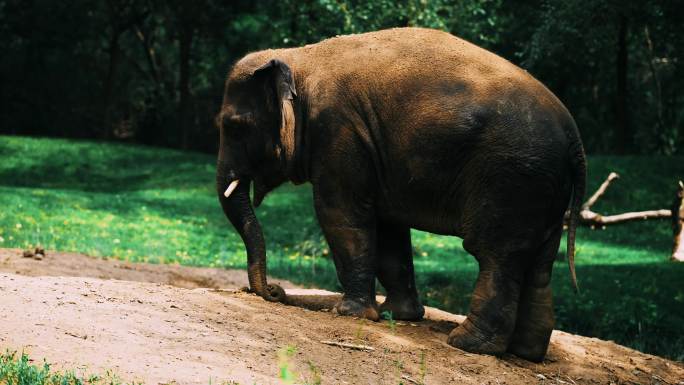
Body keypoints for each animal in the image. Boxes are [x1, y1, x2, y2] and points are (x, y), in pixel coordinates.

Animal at [216, 27, 584, 360]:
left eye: (233, 126)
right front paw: (397, 315)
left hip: (512, 179)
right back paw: (527, 353)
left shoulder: (338, 132)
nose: (275, 291)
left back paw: (467, 344)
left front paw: (349, 313)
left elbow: (339, 215)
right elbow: (389, 227)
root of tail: (573, 136)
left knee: (497, 255)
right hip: (543, 189)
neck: (301, 57)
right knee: (539, 263)